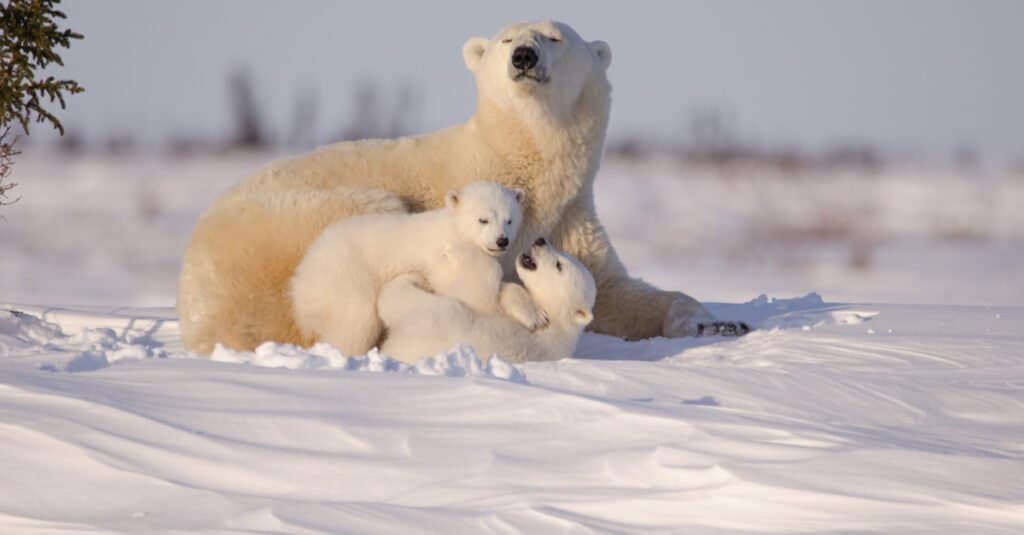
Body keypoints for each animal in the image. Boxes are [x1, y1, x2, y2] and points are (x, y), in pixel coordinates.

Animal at [288, 181, 540, 356]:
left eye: (509, 219)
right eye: (483, 219)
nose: (502, 241)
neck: (453, 230)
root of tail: (300, 279)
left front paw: (533, 316)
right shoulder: (443, 258)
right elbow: (462, 289)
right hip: (345, 276)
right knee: (354, 322)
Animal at [378, 237, 598, 362]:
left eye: (559, 265)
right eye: (562, 252)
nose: (541, 240)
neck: (558, 323)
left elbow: (478, 283)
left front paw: (455, 249)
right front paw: (532, 312)